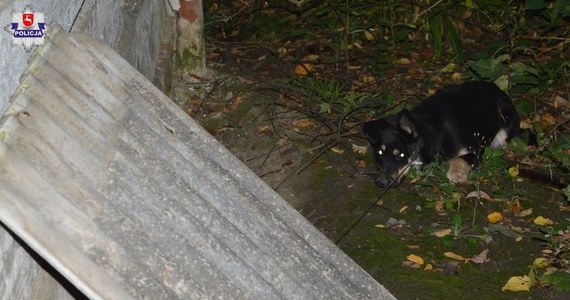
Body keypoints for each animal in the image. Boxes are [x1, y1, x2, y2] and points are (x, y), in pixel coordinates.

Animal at [362, 81, 516, 186]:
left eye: (400, 155)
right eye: (379, 153)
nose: (380, 182)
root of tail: (499, 89)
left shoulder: (475, 152)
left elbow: (458, 159)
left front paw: (456, 173)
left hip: (504, 115)